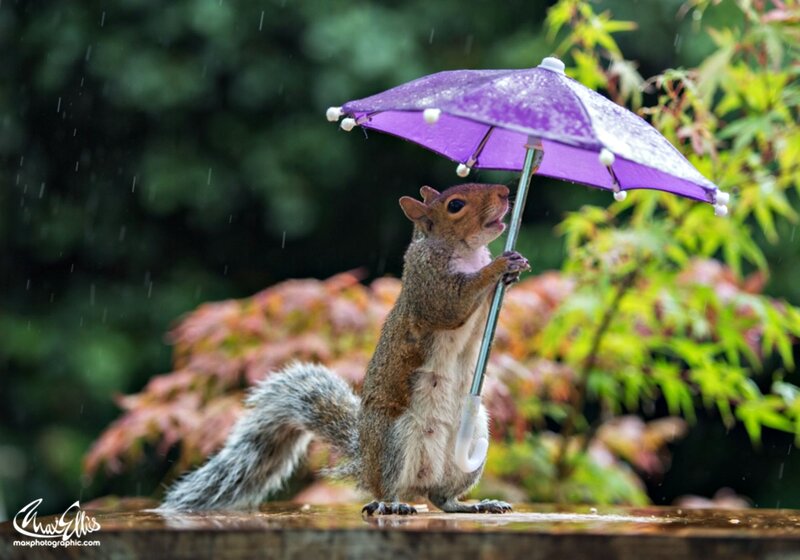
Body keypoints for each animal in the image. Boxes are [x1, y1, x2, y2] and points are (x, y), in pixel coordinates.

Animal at [160, 182, 530, 515]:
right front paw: (498, 266)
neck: (467, 252)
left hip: (471, 444)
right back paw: (391, 505)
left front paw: (514, 270)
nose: (503, 192)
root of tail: (364, 460)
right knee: (387, 488)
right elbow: (453, 304)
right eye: (455, 205)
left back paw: (473, 504)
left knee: (441, 498)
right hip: (394, 440)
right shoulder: (428, 286)